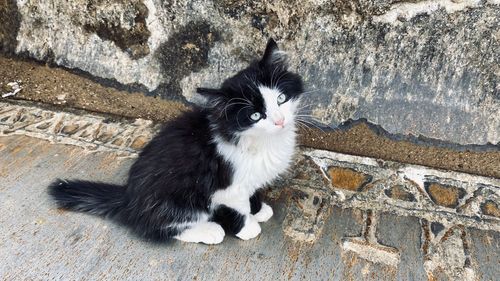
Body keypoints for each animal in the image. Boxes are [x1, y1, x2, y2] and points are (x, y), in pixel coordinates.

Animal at [47, 38, 304, 243]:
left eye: (281, 99)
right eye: (255, 116)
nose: (280, 121)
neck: (258, 140)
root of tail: (129, 199)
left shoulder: (249, 175)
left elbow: (251, 193)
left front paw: (258, 209)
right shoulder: (225, 186)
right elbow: (237, 206)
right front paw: (248, 227)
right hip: (180, 200)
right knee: (155, 228)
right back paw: (209, 231)